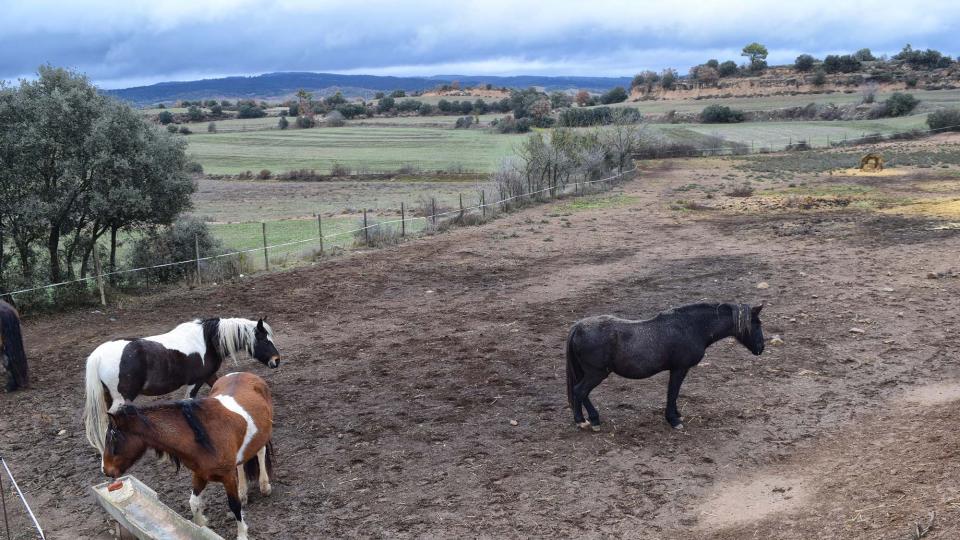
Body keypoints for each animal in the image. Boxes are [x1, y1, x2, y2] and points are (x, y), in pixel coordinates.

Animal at [102, 372, 274, 540]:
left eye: (113, 438)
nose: (105, 470)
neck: (203, 438)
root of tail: (246, 374)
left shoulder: (228, 477)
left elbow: (234, 505)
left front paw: (242, 534)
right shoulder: (200, 474)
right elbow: (194, 503)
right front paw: (201, 525)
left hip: (263, 435)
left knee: (260, 451)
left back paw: (264, 486)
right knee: (241, 463)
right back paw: (243, 492)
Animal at [564, 304, 764, 430]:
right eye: (756, 324)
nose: (761, 348)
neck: (691, 327)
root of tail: (578, 328)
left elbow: (673, 393)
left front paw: (676, 414)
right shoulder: (679, 369)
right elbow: (673, 392)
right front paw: (673, 420)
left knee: (581, 393)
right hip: (596, 374)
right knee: (580, 391)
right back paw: (585, 421)